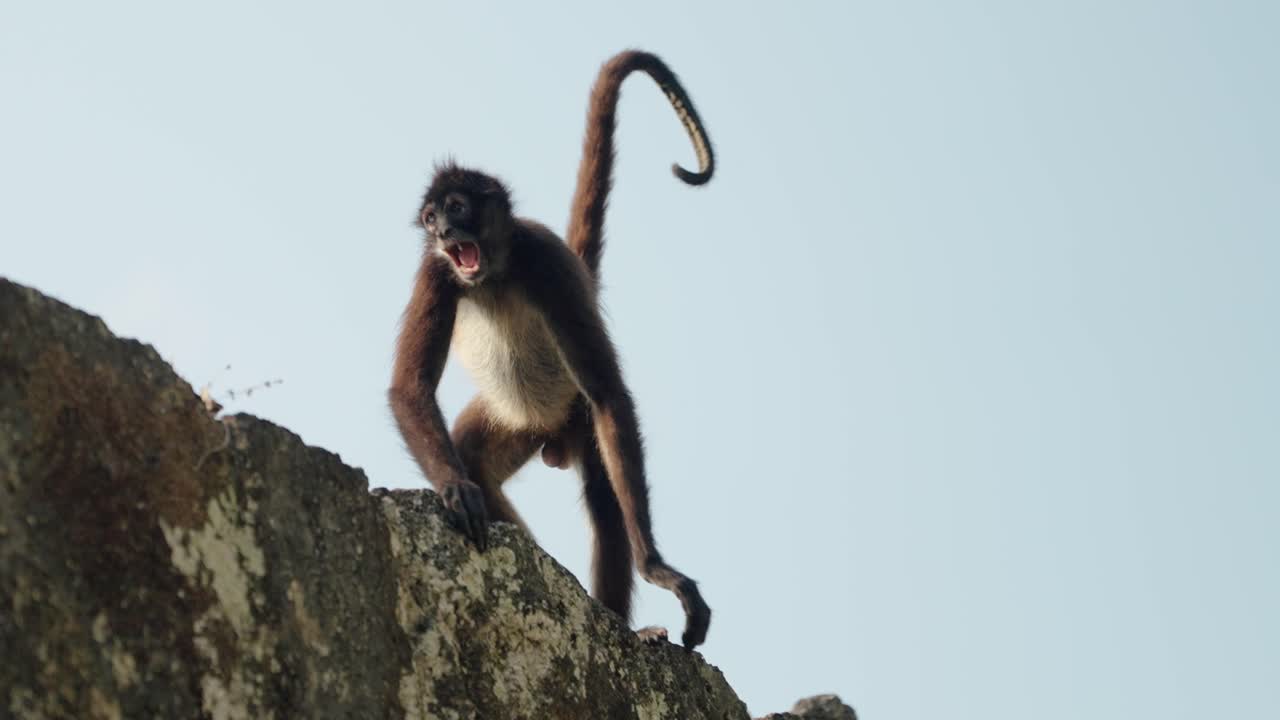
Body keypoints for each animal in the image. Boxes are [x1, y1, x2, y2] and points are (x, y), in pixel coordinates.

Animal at [388, 50, 715, 649]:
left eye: (456, 206)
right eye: (430, 219)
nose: (443, 230)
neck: (493, 276)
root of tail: (549, 434)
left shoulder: (546, 261)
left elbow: (609, 392)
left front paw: (657, 568)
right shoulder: (435, 271)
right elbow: (411, 387)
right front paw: (454, 489)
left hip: (575, 416)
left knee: (605, 495)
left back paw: (624, 621)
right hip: (513, 420)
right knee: (473, 452)